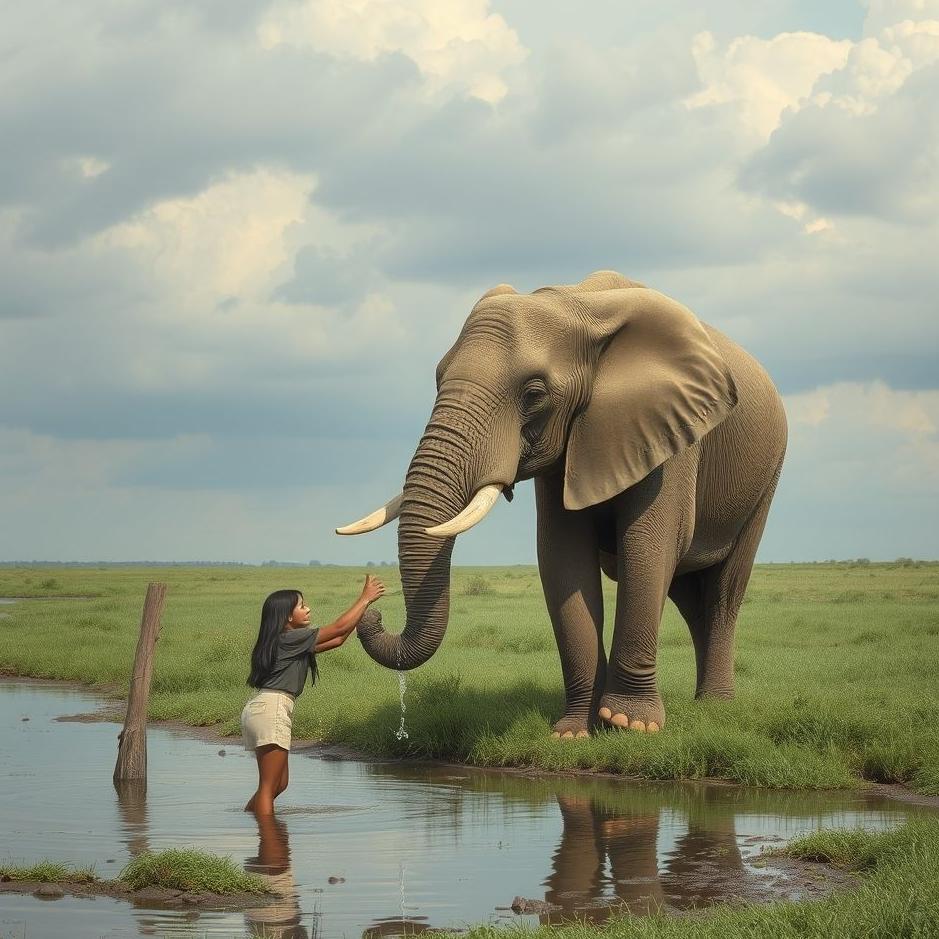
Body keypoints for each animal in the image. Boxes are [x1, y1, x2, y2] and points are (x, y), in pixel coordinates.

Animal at [338, 271, 787, 735]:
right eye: (438, 379)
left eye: (534, 393)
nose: (373, 613)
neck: (578, 305)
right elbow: (562, 556)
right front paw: (573, 733)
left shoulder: (673, 432)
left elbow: (649, 545)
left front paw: (630, 724)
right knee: (688, 593)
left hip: (767, 477)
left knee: (722, 592)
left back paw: (715, 706)